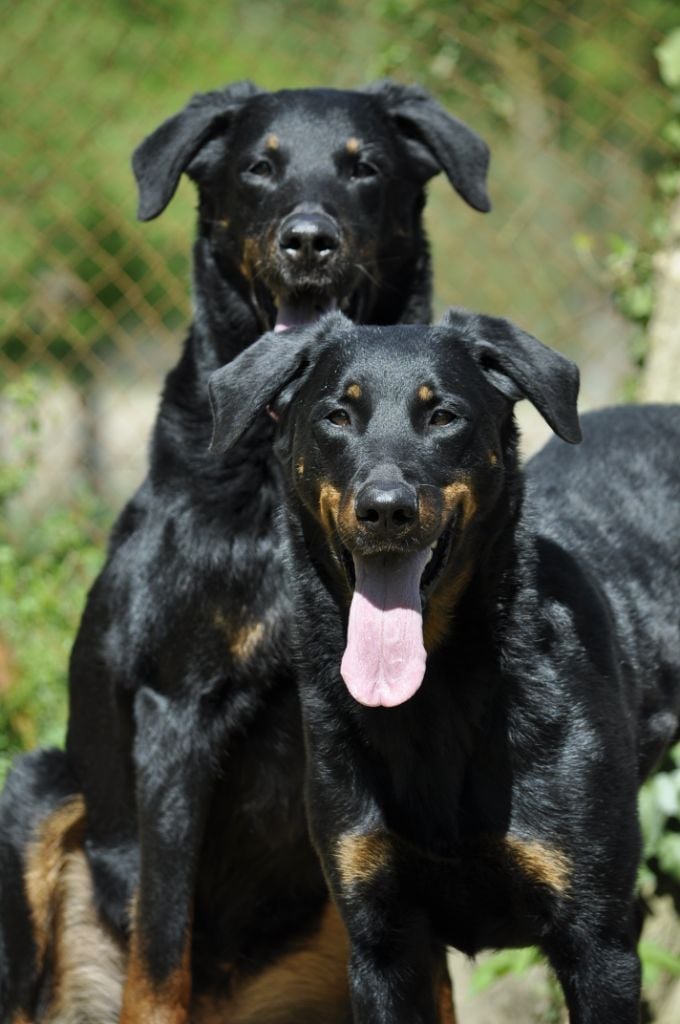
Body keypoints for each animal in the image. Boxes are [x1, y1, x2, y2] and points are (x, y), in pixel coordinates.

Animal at [0, 81, 489, 1024]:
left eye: (363, 167)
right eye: (259, 168)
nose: (308, 239)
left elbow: (437, 978)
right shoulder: (178, 709)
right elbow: (160, 945)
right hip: (37, 793)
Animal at [206, 309, 680, 1024]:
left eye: (443, 416)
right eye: (337, 415)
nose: (385, 508)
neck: (436, 699)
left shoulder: (598, 945)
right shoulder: (381, 943)